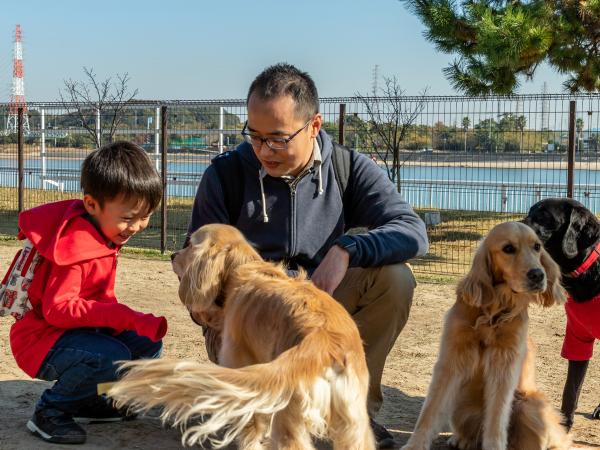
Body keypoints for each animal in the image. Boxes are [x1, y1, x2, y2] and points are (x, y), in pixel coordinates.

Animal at [108, 224, 372, 450]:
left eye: (191, 244)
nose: (172, 255)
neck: (244, 268)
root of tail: (324, 341)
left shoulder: (242, 368)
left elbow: (252, 424)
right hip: (354, 427)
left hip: (290, 417)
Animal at [400, 221, 568, 450]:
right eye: (508, 248)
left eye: (537, 247)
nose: (538, 275)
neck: (493, 312)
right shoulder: (451, 358)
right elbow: (430, 410)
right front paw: (415, 444)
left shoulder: (504, 365)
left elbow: (497, 415)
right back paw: (459, 439)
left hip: (530, 403)